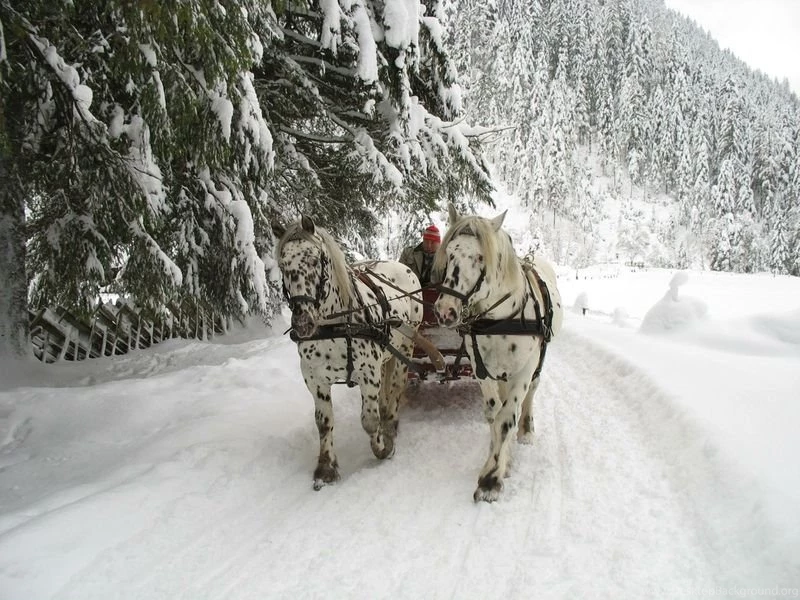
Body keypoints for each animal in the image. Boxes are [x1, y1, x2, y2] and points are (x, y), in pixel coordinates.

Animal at [277, 215, 423, 490]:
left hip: (406, 347)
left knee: (396, 387)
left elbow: (369, 421)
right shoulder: (315, 379)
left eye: (315, 260)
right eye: (282, 264)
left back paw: (390, 424)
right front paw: (326, 468)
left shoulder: (368, 374)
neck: (335, 325)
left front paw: (383, 447)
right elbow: (323, 423)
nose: (302, 322)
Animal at [433, 204, 563, 502]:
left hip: (537, 362)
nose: (445, 310)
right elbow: (495, 414)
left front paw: (491, 479)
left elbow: (507, 417)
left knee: (529, 396)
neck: (500, 318)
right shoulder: (481, 367)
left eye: (481, 256)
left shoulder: (524, 368)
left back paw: (526, 431)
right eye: (451, 251)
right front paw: (500, 461)